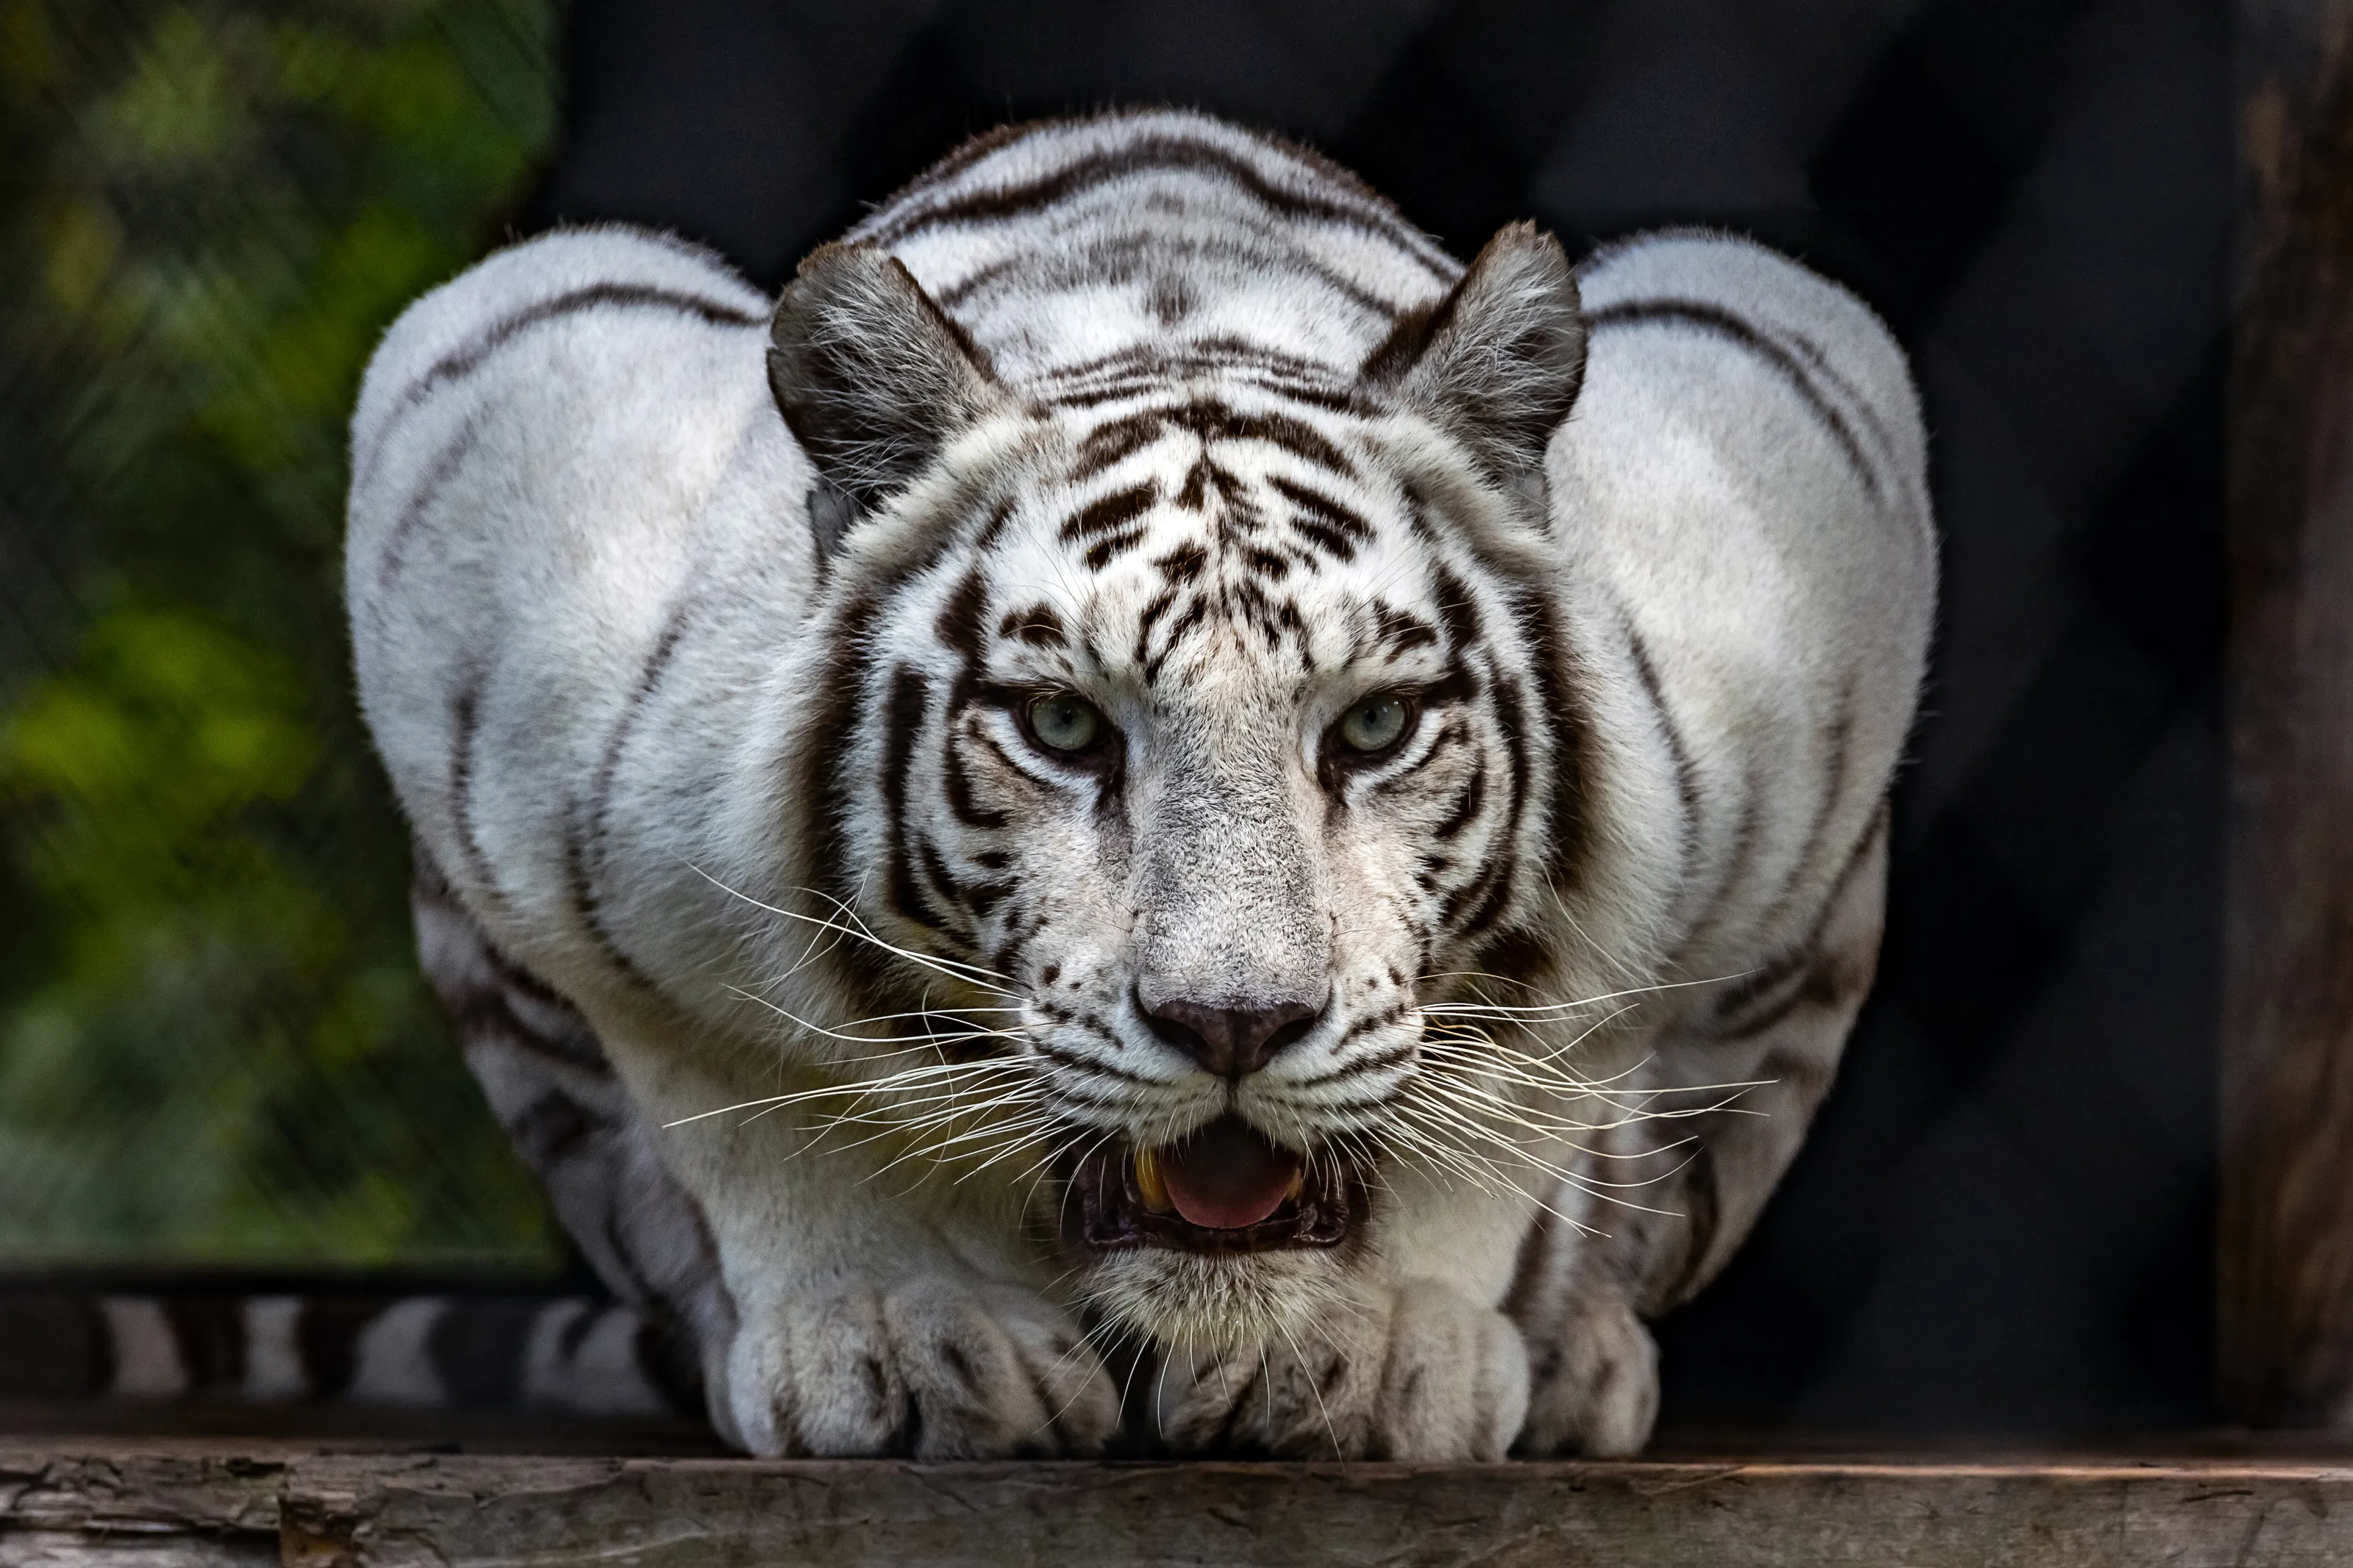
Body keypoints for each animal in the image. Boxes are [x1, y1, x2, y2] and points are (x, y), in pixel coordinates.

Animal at [345, 108, 1934, 1460]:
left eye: (1373, 727)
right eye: (1061, 724)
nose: (1232, 1025)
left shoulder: (1801, 461)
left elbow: (1543, 1063)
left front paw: (1377, 1345)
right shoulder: (499, 467)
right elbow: (738, 1081)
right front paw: (906, 1335)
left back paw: (1579, 1356)